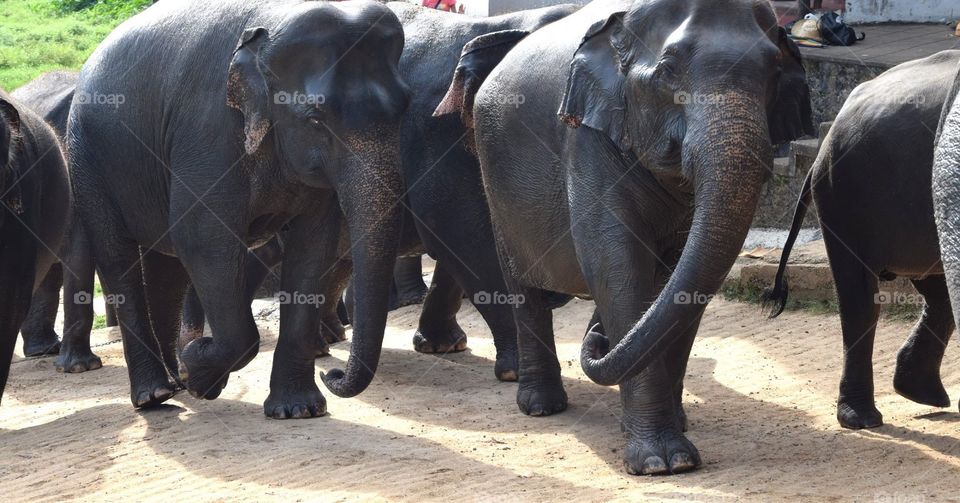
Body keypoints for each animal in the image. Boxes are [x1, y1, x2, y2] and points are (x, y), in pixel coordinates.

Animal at [65, 0, 410, 414]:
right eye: (315, 119)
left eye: (404, 108)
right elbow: (203, 237)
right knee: (120, 258)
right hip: (87, 157)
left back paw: (172, 387)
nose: (334, 374)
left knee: (166, 266)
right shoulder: (208, 133)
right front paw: (198, 370)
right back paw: (154, 396)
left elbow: (313, 246)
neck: (272, 26)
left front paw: (297, 410)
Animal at [438, 0, 812, 476]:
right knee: (523, 287)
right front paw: (661, 463)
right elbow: (616, 264)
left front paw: (675, 436)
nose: (596, 338)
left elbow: (679, 279)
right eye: (668, 70)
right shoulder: (586, 136)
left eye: (772, 71)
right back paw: (541, 406)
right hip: (495, 180)